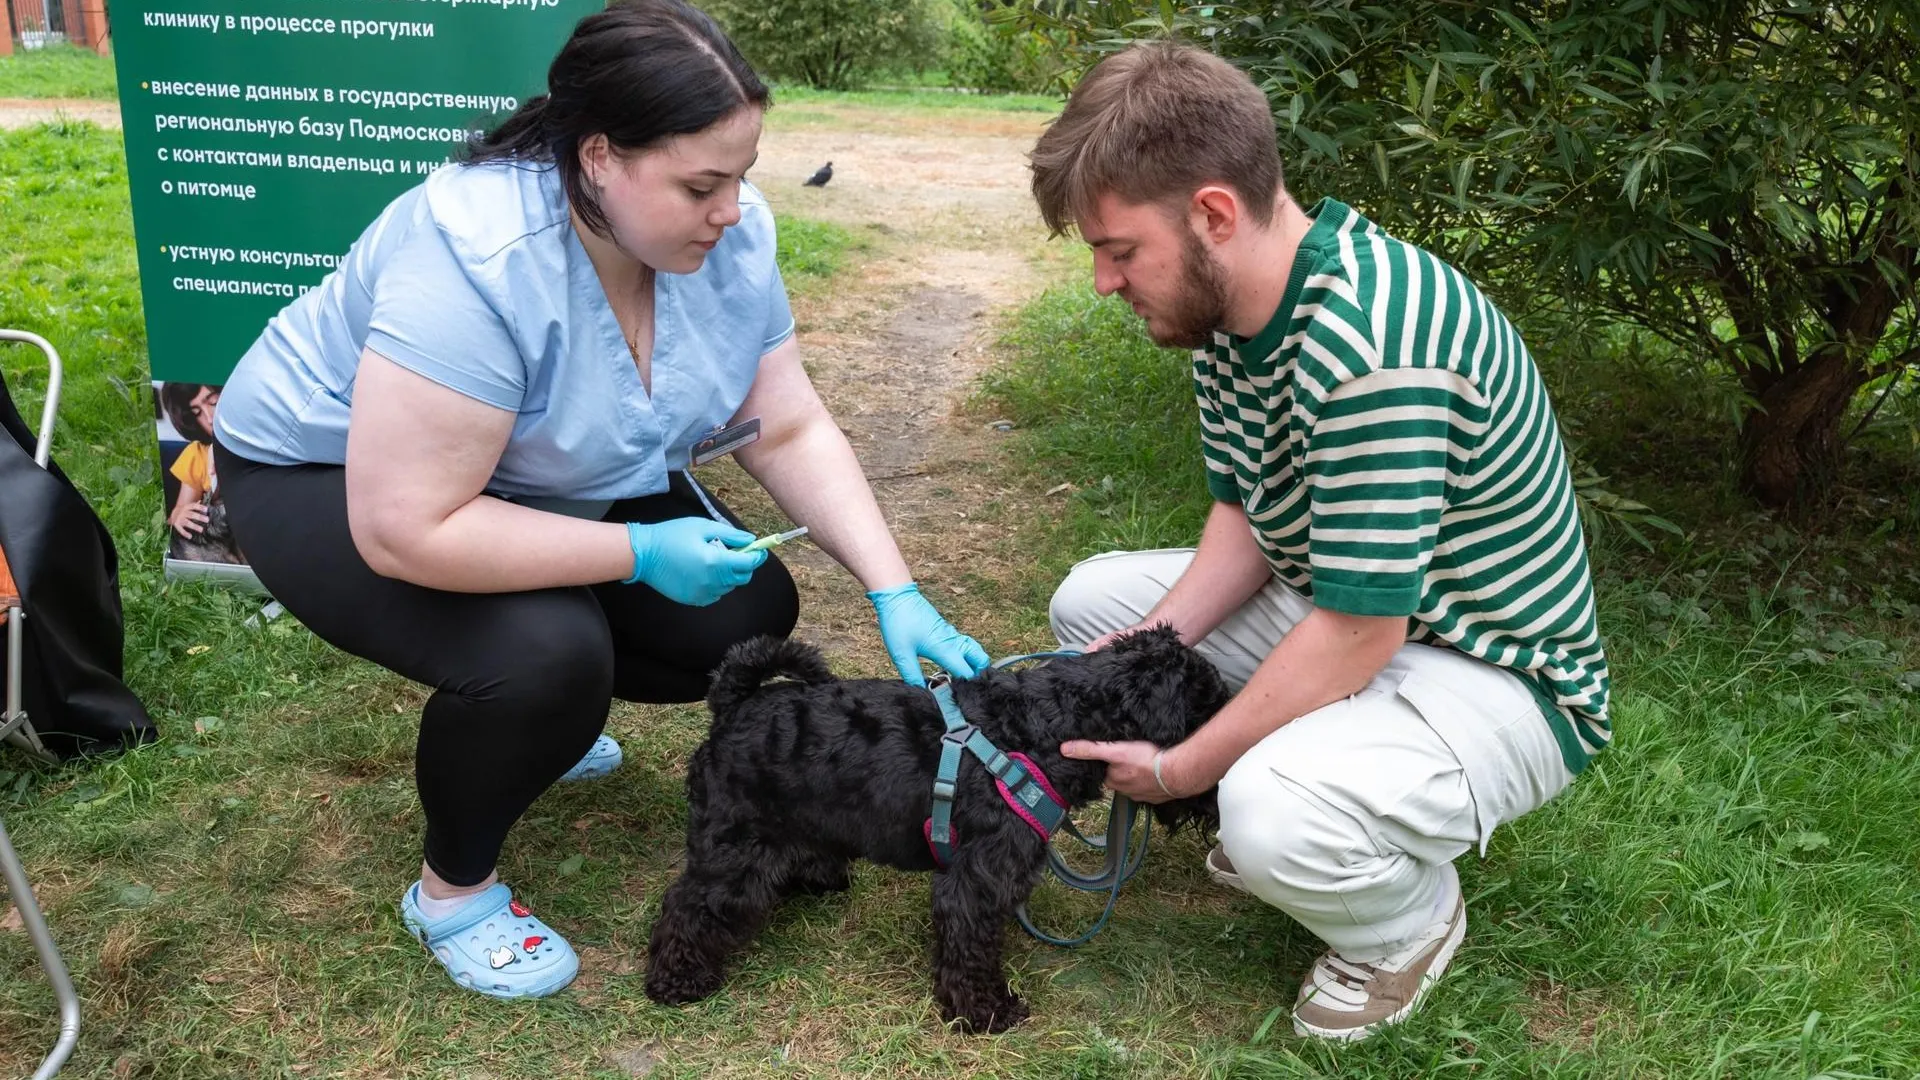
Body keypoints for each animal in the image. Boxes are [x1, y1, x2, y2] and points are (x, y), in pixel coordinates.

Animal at [637, 626, 1221, 1030]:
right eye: (1207, 711)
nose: (1216, 788)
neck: (1044, 727)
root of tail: (732, 704)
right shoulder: (974, 882)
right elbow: (971, 949)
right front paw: (986, 1012)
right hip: (734, 848)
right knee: (689, 904)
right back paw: (677, 979)